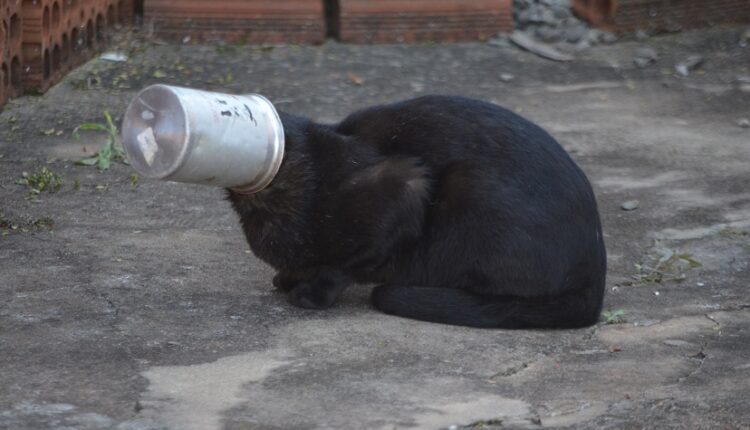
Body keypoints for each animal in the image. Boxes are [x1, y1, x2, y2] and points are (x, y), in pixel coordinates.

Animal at [226, 95, 608, 330]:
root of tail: (596, 279)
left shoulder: (403, 187)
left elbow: (345, 263)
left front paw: (312, 291)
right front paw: (291, 276)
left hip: (468, 188)